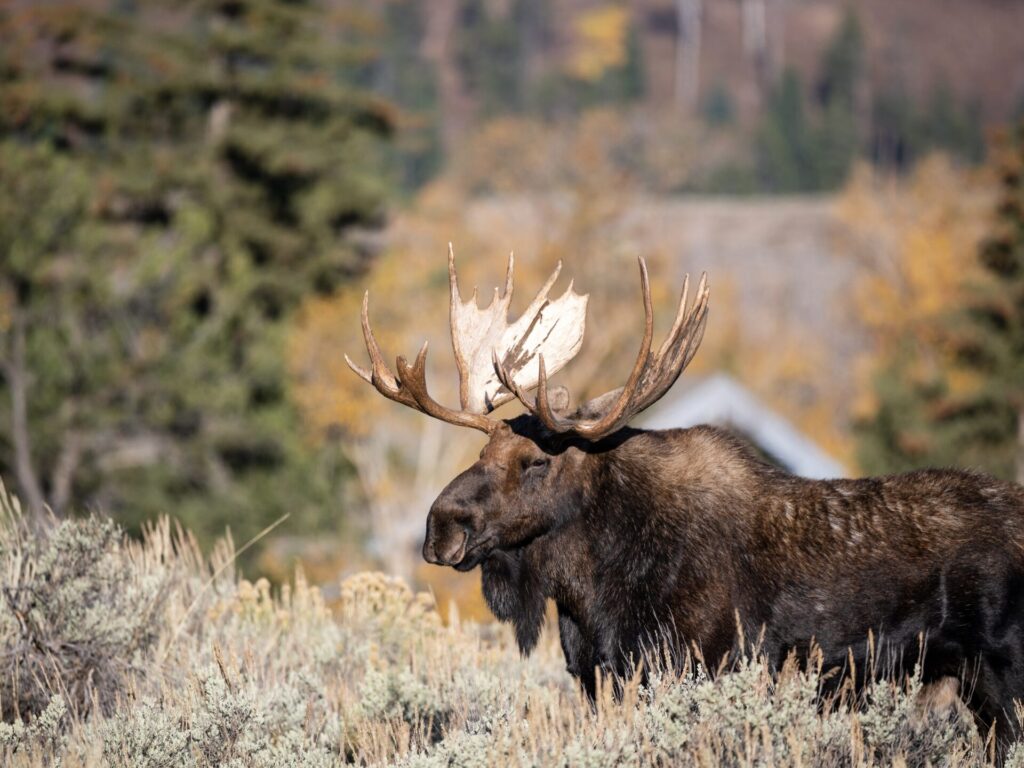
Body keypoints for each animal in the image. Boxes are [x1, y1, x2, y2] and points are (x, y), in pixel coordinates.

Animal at [348, 252, 1024, 745]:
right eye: (481, 453)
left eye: (536, 462)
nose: (440, 527)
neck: (592, 591)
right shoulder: (598, 676)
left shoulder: (705, 665)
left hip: (1004, 673)